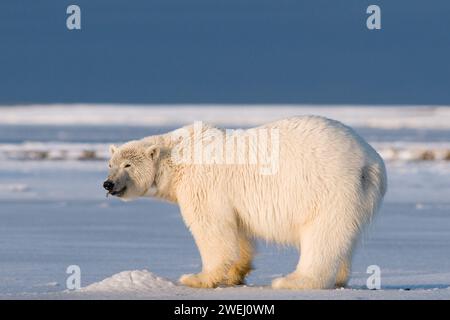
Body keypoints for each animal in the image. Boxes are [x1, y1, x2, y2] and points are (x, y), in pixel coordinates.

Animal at [103, 115, 386, 290]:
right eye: (110, 164)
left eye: (127, 165)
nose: (108, 184)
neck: (180, 155)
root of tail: (370, 164)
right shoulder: (229, 199)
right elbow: (236, 231)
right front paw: (236, 273)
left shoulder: (202, 184)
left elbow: (212, 229)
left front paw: (197, 278)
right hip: (356, 199)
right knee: (342, 238)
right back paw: (338, 278)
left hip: (328, 189)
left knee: (321, 237)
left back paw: (292, 280)